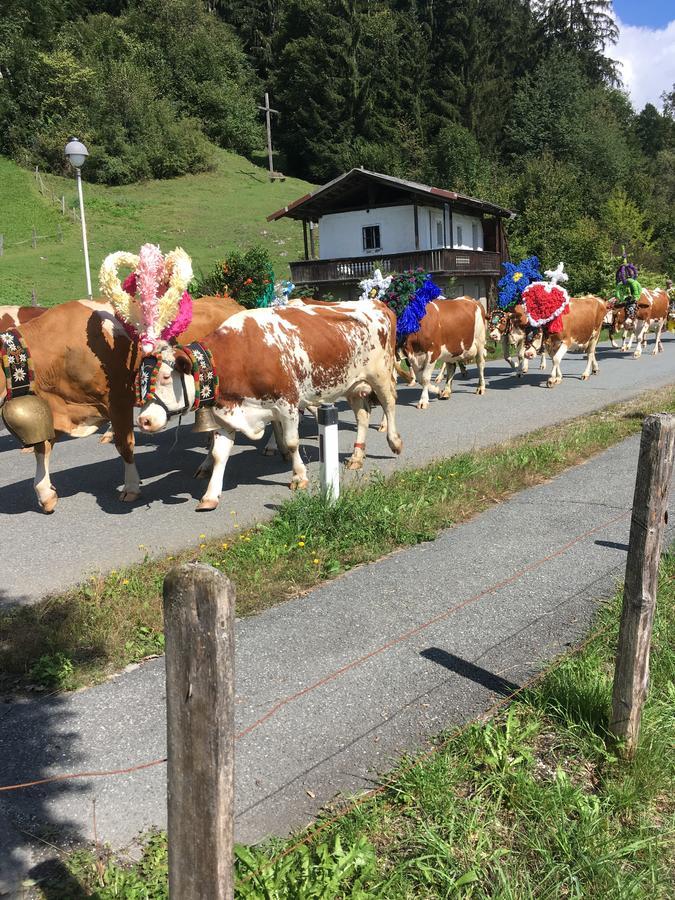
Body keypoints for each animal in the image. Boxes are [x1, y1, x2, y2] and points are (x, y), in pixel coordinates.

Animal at [0, 298, 243, 512]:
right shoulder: (60, 409)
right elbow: (42, 448)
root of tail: (229, 302)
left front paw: (131, 487)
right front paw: (45, 494)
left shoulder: (118, 400)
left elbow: (124, 445)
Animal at [135, 302, 404, 510]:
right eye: (141, 380)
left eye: (166, 377)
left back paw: (394, 441)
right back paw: (357, 456)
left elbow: (293, 442)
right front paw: (210, 496)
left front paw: (299, 476)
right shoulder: (227, 412)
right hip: (351, 385)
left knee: (390, 404)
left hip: (380, 374)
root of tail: (377, 304)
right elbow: (219, 454)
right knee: (362, 416)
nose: (143, 420)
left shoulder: (288, 403)